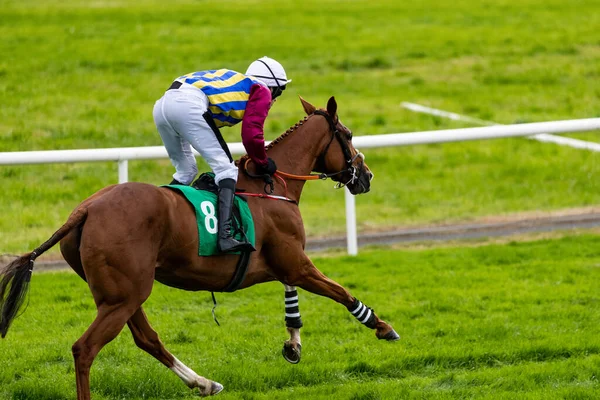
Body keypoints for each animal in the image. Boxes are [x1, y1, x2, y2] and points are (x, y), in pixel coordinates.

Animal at [1, 95, 398, 398]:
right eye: (347, 135)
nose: (366, 176)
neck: (271, 186)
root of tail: (86, 208)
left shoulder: (285, 263)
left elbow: (294, 296)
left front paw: (293, 343)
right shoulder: (296, 262)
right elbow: (341, 291)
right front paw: (381, 326)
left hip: (122, 294)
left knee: (147, 338)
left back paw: (203, 382)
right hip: (123, 295)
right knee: (85, 349)